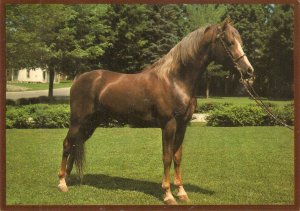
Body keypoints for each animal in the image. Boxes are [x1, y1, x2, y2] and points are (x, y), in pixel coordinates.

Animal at [58, 19, 253, 204]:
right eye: (229, 42)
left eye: (240, 41)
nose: (249, 71)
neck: (175, 80)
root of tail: (78, 79)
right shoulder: (169, 125)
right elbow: (167, 157)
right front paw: (168, 195)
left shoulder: (183, 125)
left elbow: (177, 156)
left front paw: (181, 192)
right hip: (78, 121)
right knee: (67, 144)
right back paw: (61, 183)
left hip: (90, 124)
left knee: (75, 144)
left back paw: (69, 179)